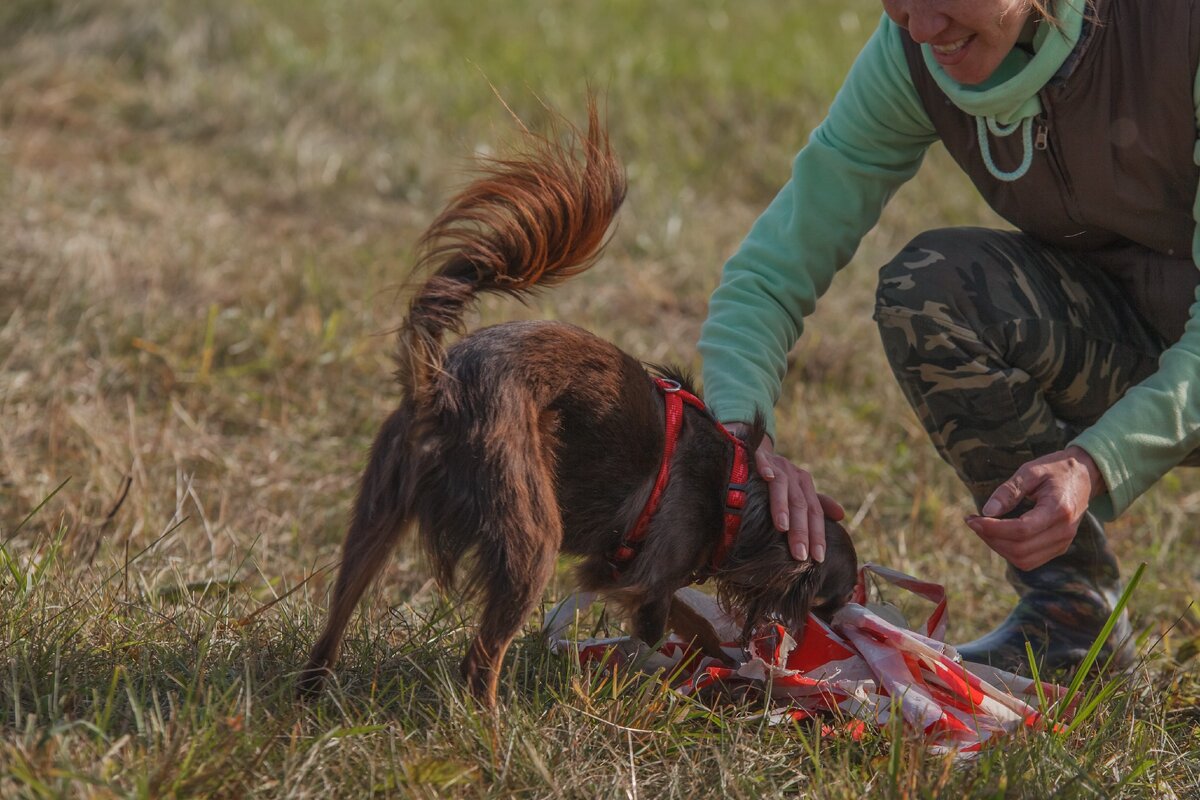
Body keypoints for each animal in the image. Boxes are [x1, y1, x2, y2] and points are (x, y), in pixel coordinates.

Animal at [300, 104, 864, 705]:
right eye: (835, 598)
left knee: (335, 619)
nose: (849, 619)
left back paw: (311, 695)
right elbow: (672, 620)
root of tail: (440, 384)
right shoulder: (644, 578)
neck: (737, 490)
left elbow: (687, 620)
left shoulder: (625, 575)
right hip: (530, 537)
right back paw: (492, 726)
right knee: (479, 662)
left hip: (375, 521)